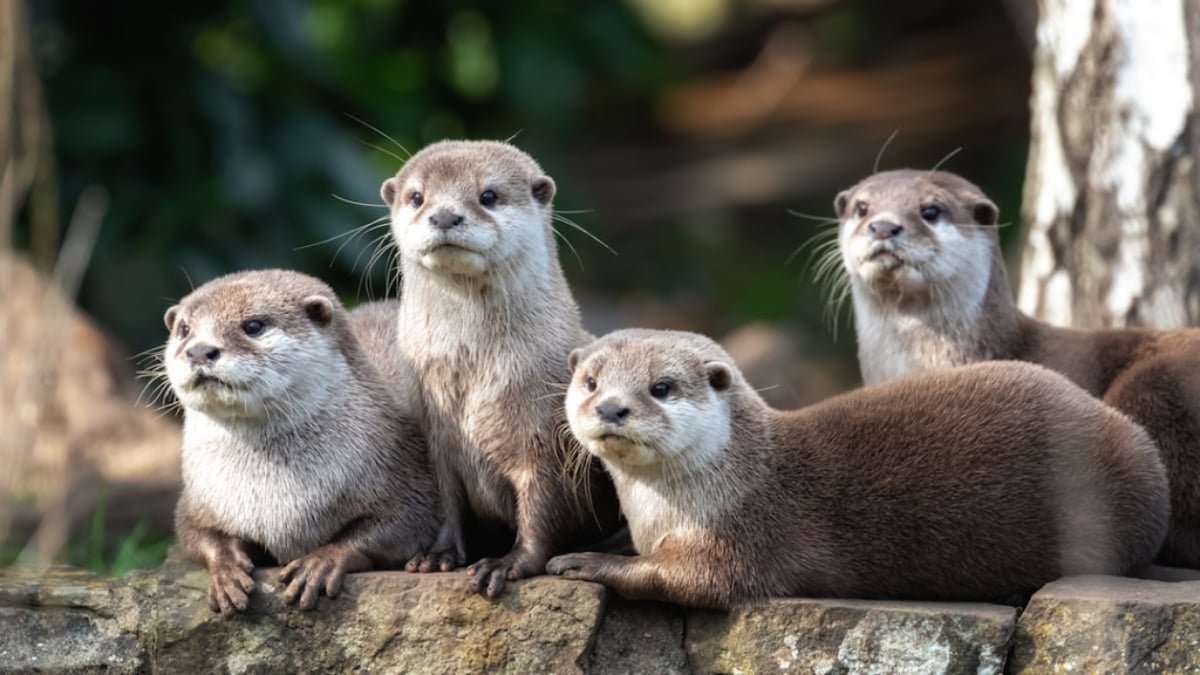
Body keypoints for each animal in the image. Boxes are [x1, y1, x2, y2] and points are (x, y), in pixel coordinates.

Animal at [164, 269, 436, 614]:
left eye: (253, 325)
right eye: (184, 329)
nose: (199, 350)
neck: (276, 497)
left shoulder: (401, 469)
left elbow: (403, 524)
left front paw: (321, 561)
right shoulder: (200, 497)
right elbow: (194, 532)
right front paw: (226, 570)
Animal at [381, 138, 619, 593]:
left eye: (488, 195)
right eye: (417, 197)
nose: (444, 215)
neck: (474, 377)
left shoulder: (545, 442)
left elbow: (542, 510)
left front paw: (508, 563)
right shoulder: (435, 436)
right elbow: (446, 502)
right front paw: (438, 554)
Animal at [549, 329, 1166, 607]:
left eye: (661, 387)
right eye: (591, 382)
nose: (611, 408)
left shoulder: (745, 533)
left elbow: (692, 581)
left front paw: (585, 562)